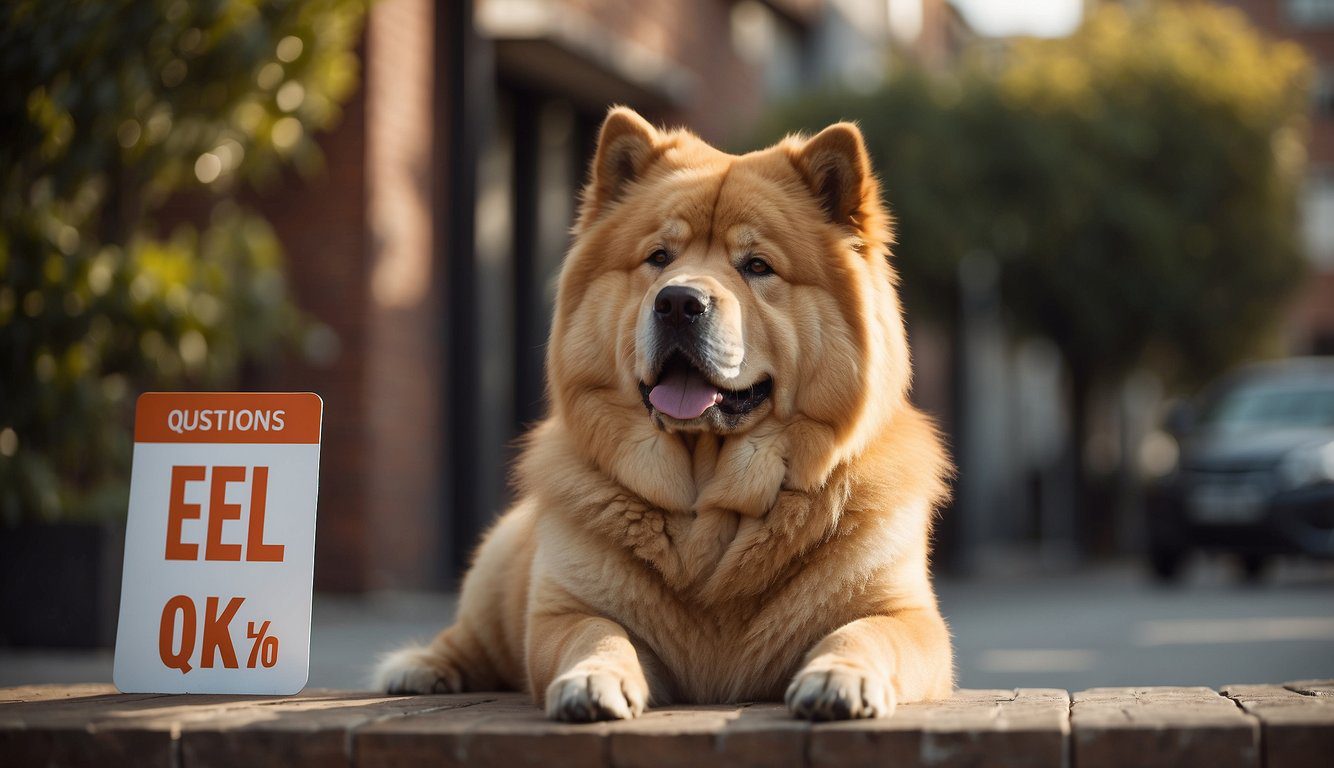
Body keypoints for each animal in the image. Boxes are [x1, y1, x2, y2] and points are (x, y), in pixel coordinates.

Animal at [376, 106, 955, 720]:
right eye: (659, 258)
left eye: (757, 265)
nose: (678, 301)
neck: (709, 500)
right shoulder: (565, 609)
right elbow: (598, 634)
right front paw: (592, 682)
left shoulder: (906, 616)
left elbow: (862, 635)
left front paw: (839, 680)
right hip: (496, 567)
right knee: (468, 638)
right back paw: (421, 668)